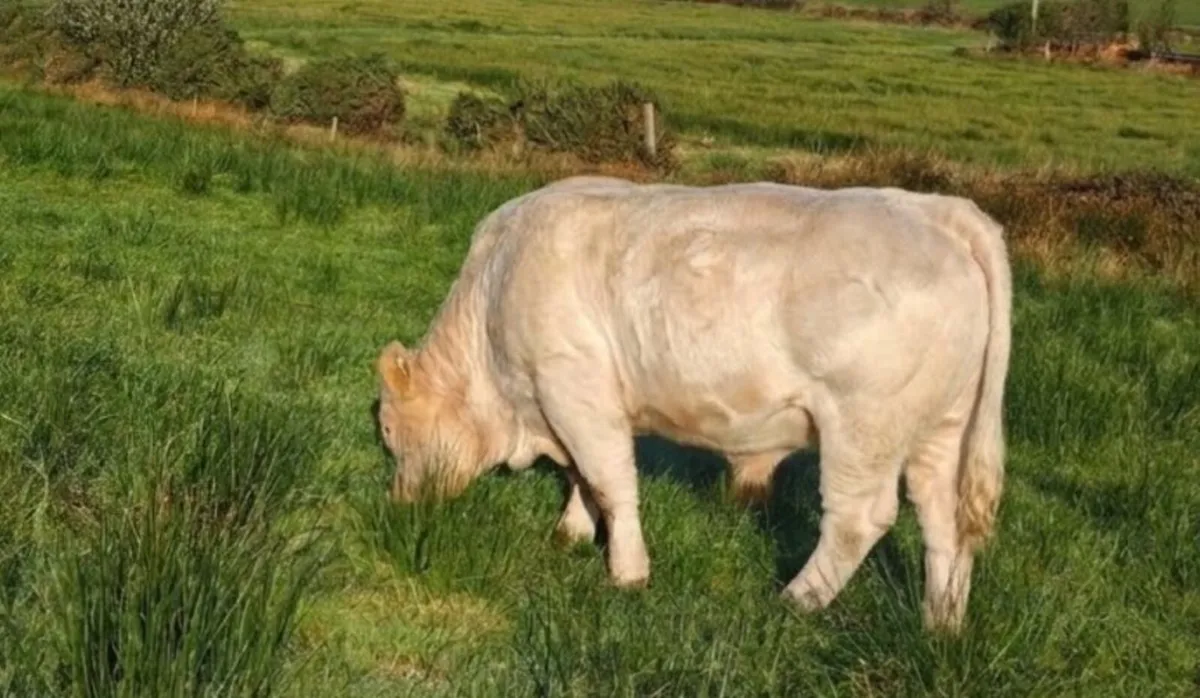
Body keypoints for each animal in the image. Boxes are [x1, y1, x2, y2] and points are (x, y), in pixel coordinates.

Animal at [374, 175, 1011, 633]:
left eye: (389, 432)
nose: (399, 505)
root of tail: (936, 210)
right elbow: (582, 477)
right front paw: (571, 534)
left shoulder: (573, 389)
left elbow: (608, 480)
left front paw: (627, 573)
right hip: (942, 429)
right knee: (943, 521)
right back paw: (940, 624)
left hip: (864, 425)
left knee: (860, 519)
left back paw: (796, 600)